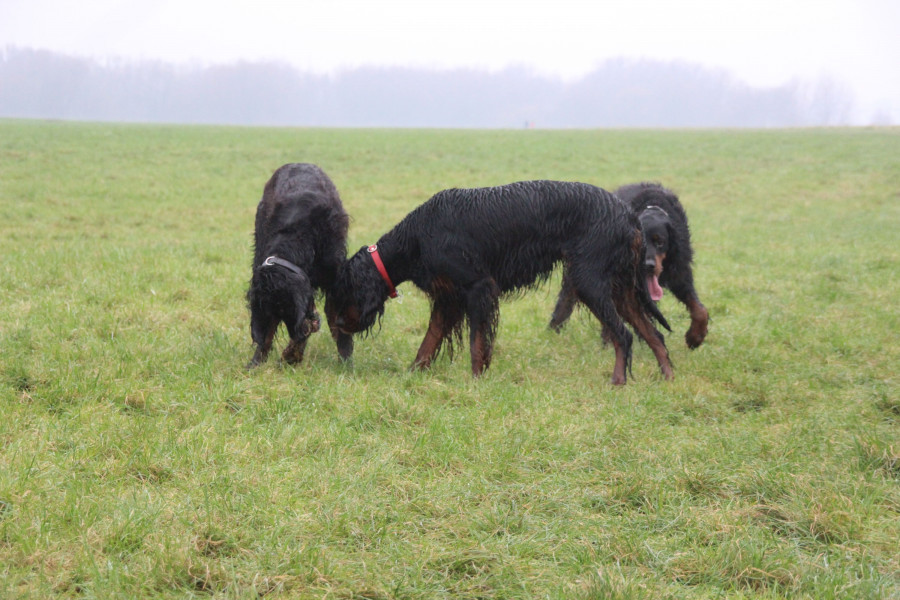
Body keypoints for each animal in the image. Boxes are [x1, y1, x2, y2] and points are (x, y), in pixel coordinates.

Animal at [331, 180, 674, 385]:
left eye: (343, 294)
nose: (338, 325)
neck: (418, 235)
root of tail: (628, 214)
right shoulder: (448, 297)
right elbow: (429, 340)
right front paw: (413, 374)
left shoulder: (478, 287)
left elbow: (476, 342)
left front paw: (475, 380)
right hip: (619, 288)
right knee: (653, 334)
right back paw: (668, 377)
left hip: (589, 280)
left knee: (623, 335)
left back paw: (618, 381)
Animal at [550, 182, 708, 349]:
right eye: (640, 243)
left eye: (660, 242)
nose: (648, 265)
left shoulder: (679, 272)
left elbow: (699, 309)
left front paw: (696, 336)